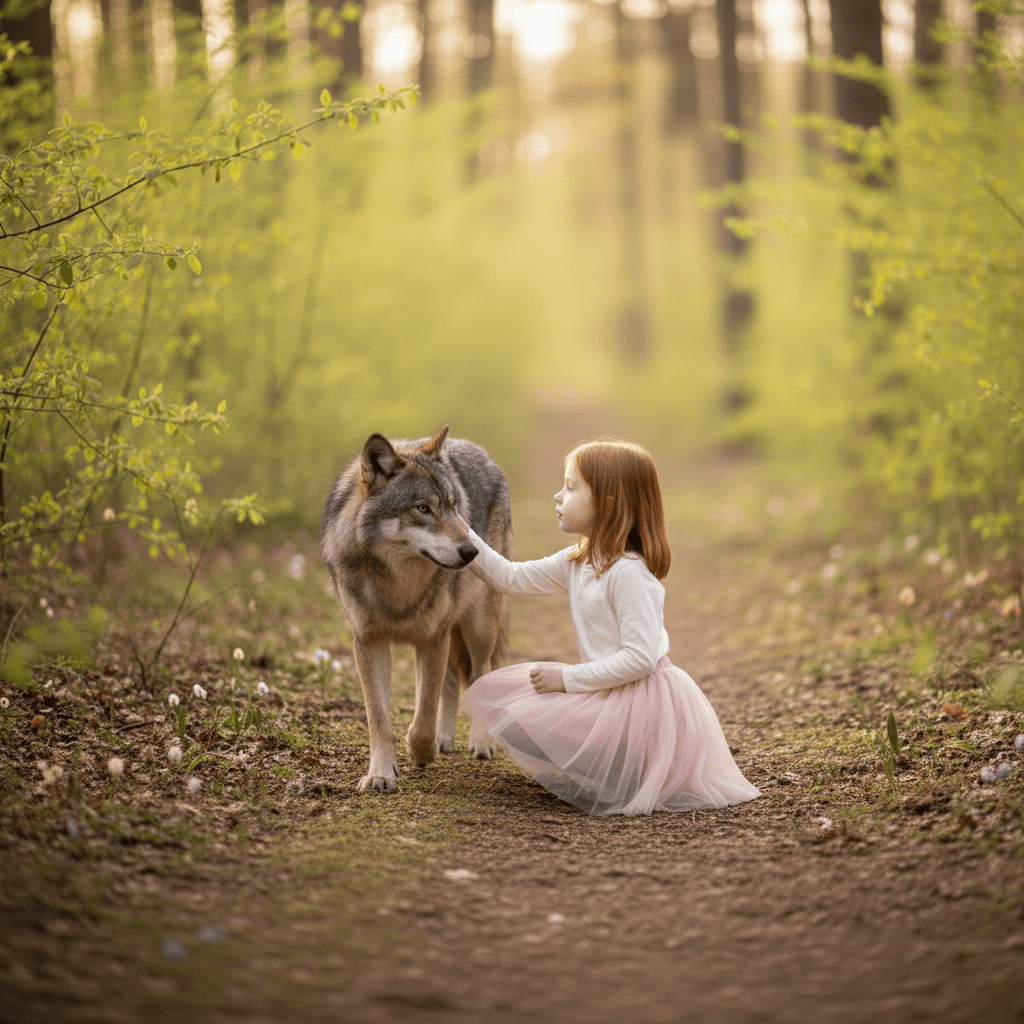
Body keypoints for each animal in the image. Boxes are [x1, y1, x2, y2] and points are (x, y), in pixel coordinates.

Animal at [319, 426, 514, 793]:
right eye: (423, 508)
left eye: (453, 506)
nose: (472, 552)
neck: (398, 584)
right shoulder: (369, 642)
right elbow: (379, 719)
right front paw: (380, 774)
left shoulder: (432, 639)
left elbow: (423, 716)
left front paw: (421, 752)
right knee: (451, 680)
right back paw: (446, 739)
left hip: (479, 627)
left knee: (479, 673)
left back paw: (480, 742)